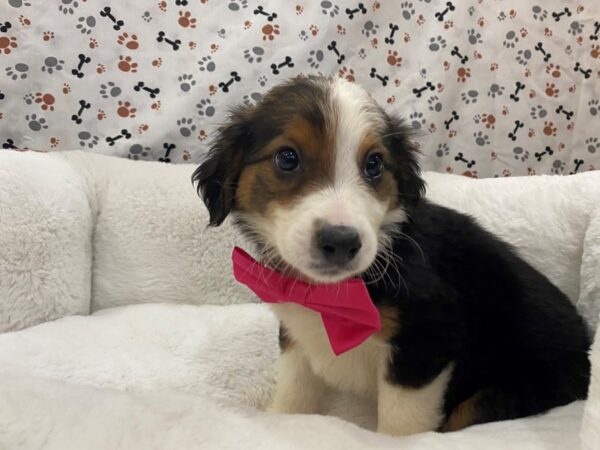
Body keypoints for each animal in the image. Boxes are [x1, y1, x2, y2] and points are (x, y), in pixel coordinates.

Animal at [193, 76, 592, 436]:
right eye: (287, 158)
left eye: (374, 164)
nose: (341, 241)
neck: (330, 294)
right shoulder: (297, 332)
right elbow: (295, 386)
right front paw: (280, 419)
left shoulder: (426, 337)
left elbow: (402, 421)